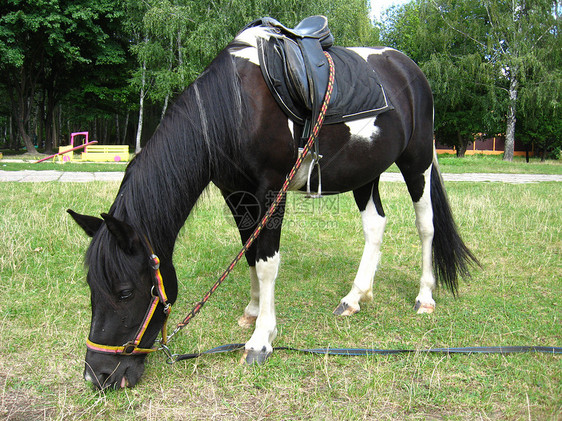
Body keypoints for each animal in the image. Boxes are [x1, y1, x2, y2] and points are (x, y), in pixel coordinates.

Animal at [68, 21, 474, 388]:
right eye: (91, 286)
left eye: (125, 292)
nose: (97, 376)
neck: (235, 107)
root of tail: (408, 67)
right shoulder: (236, 193)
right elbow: (249, 252)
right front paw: (251, 311)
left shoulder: (270, 190)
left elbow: (266, 263)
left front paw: (261, 340)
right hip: (366, 172)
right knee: (375, 225)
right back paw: (355, 296)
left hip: (416, 162)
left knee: (426, 226)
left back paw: (425, 296)